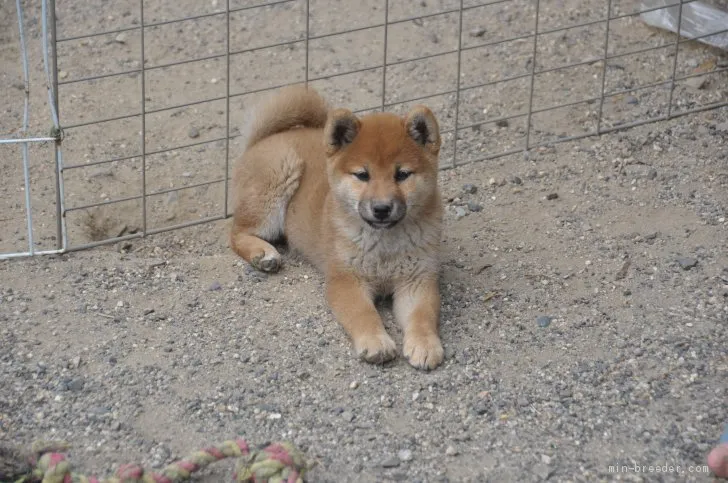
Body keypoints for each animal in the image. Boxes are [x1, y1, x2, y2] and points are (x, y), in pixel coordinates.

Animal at [230, 86, 444, 370]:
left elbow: (423, 315)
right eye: (362, 175)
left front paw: (425, 344)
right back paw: (263, 254)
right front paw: (375, 341)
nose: (382, 208)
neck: (384, 245)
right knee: (237, 232)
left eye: (402, 175)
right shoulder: (346, 280)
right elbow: (363, 313)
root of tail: (262, 140)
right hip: (276, 183)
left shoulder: (417, 280)